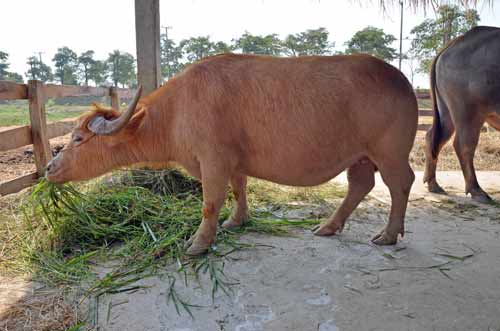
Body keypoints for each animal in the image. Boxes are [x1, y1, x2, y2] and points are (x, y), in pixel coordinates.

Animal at [46, 53, 418, 256]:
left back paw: (388, 234)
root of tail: (401, 80)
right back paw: (328, 226)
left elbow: (210, 203)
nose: (49, 167)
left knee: (400, 184)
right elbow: (239, 190)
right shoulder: (235, 162)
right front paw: (237, 220)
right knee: (360, 185)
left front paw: (198, 243)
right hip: (360, 157)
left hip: (390, 154)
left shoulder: (213, 162)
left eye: (77, 138)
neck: (177, 111)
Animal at [424, 26, 500, 202]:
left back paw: (433, 184)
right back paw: (477, 190)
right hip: (468, 111)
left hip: (446, 112)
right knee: (463, 145)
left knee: (434, 138)